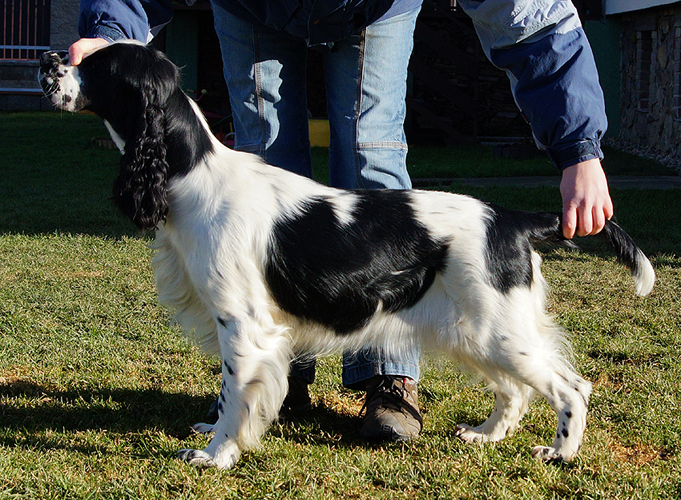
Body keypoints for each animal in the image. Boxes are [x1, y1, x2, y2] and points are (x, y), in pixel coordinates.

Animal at [38, 42, 652, 468]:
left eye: (98, 66)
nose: (48, 61)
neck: (192, 172)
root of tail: (514, 220)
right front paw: (212, 435)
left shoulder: (244, 322)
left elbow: (236, 392)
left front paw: (216, 454)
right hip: (472, 329)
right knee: (514, 390)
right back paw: (486, 434)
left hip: (496, 327)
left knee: (570, 387)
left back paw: (560, 453)